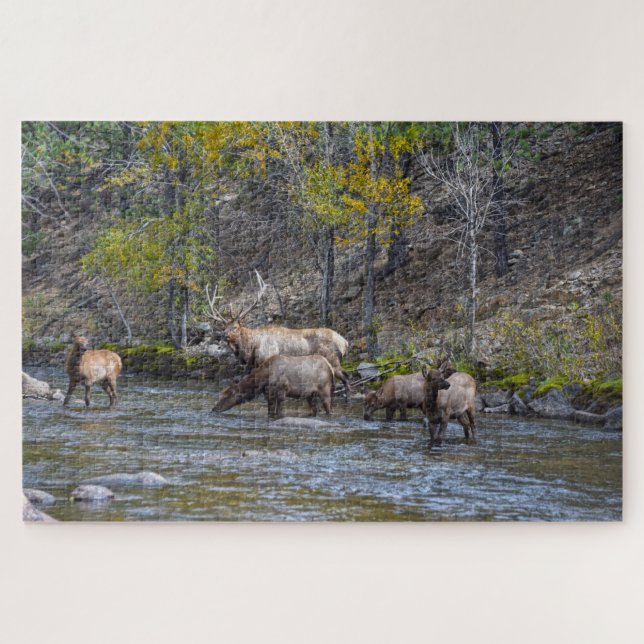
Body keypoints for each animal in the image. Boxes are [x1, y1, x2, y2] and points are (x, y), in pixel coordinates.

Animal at [205, 271, 351, 399]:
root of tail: (344, 342)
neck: (252, 348)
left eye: (235, 327)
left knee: (345, 378)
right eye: (224, 327)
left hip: (332, 358)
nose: (224, 336)